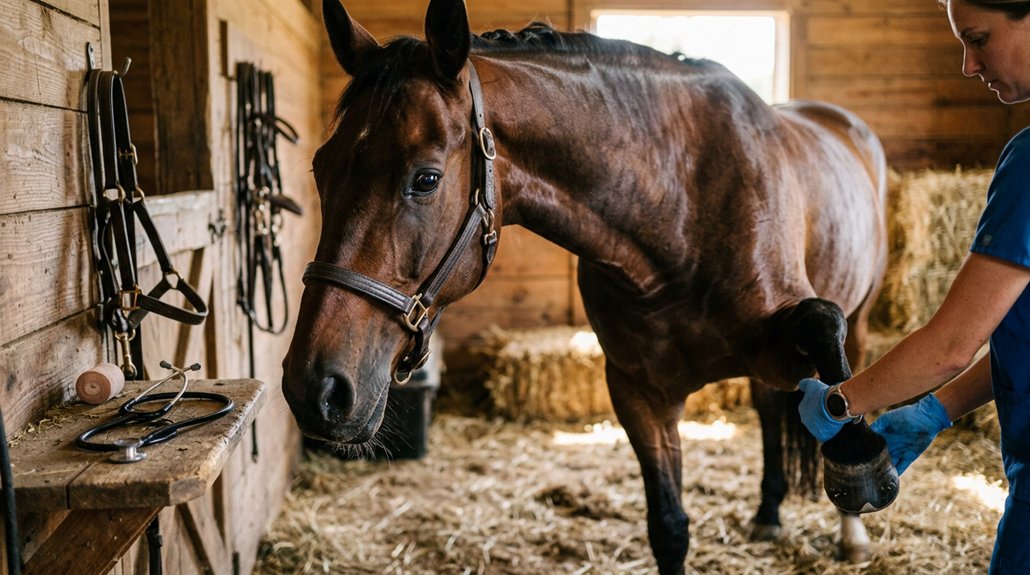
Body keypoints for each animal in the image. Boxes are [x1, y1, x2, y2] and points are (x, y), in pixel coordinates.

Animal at [283, 0, 893, 572]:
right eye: (320, 168)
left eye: (426, 179)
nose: (316, 389)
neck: (678, 211)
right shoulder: (639, 392)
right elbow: (669, 527)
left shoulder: (789, 333)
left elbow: (825, 339)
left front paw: (860, 459)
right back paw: (768, 512)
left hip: (859, 323)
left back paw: (849, 532)